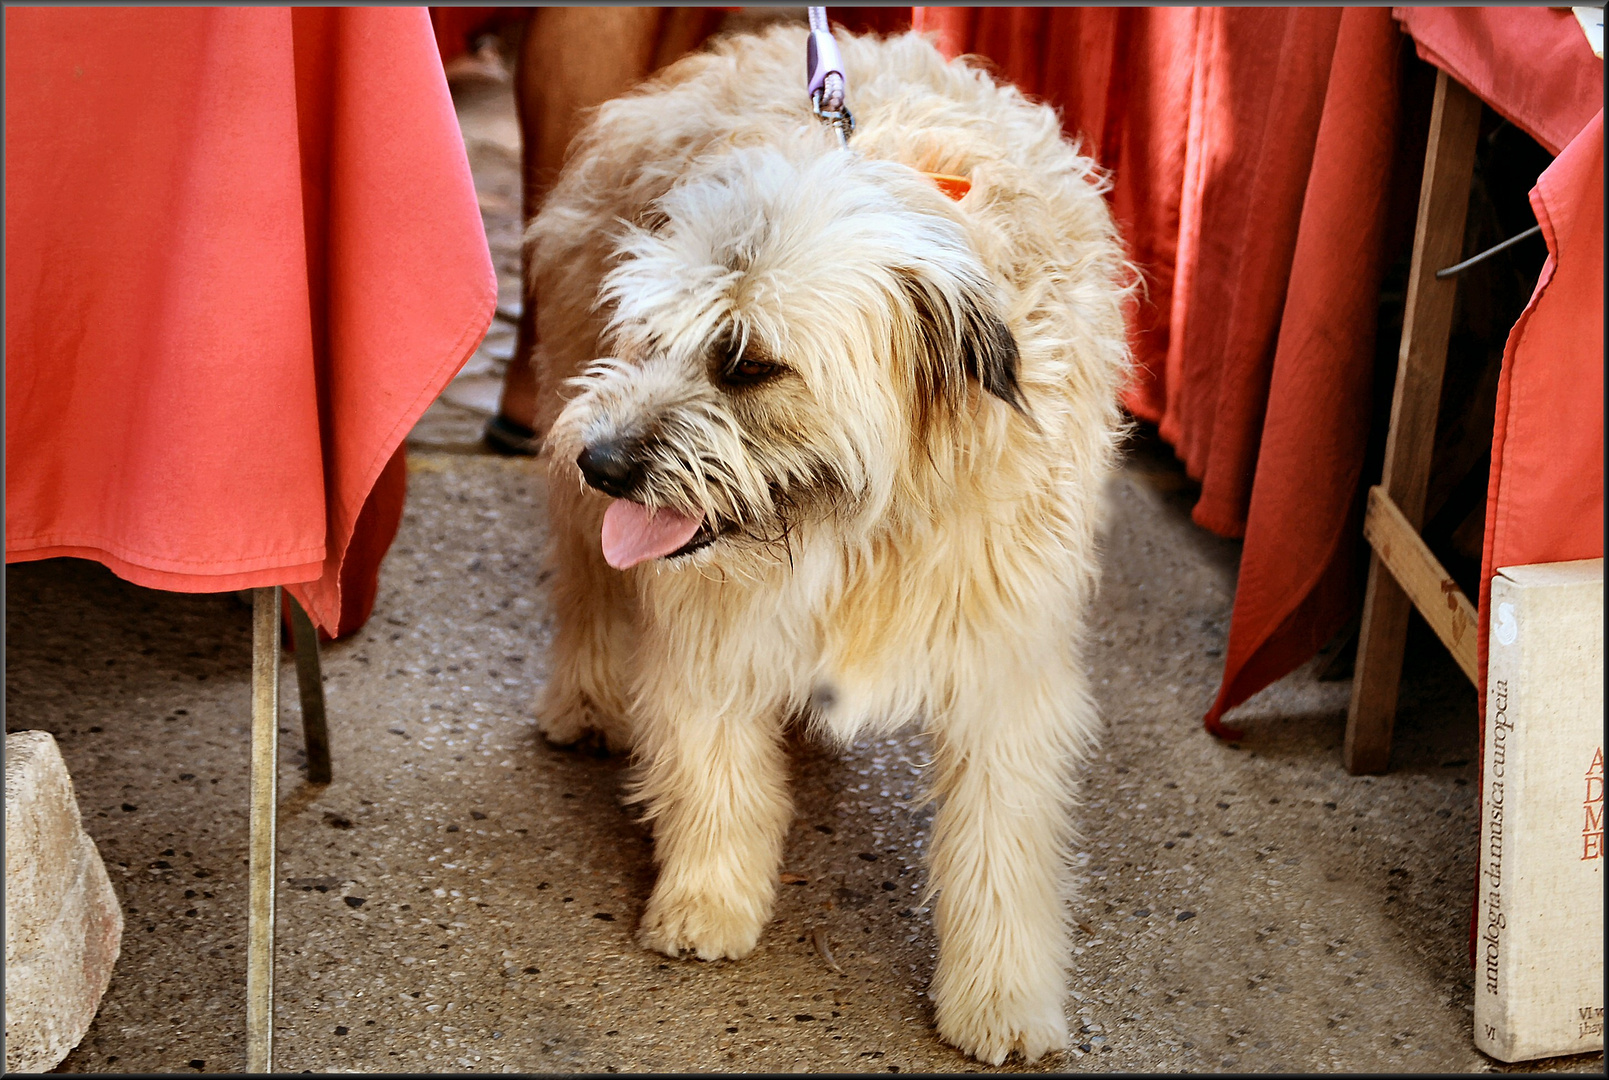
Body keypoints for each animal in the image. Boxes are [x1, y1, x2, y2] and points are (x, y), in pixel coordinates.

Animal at [521, 23, 1126, 1062]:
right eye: (650, 333)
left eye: (747, 362)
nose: (599, 462)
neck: (870, 515)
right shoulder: (711, 616)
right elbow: (712, 763)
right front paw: (708, 899)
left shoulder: (1004, 665)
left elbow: (999, 845)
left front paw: (1002, 994)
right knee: (591, 593)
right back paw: (592, 698)